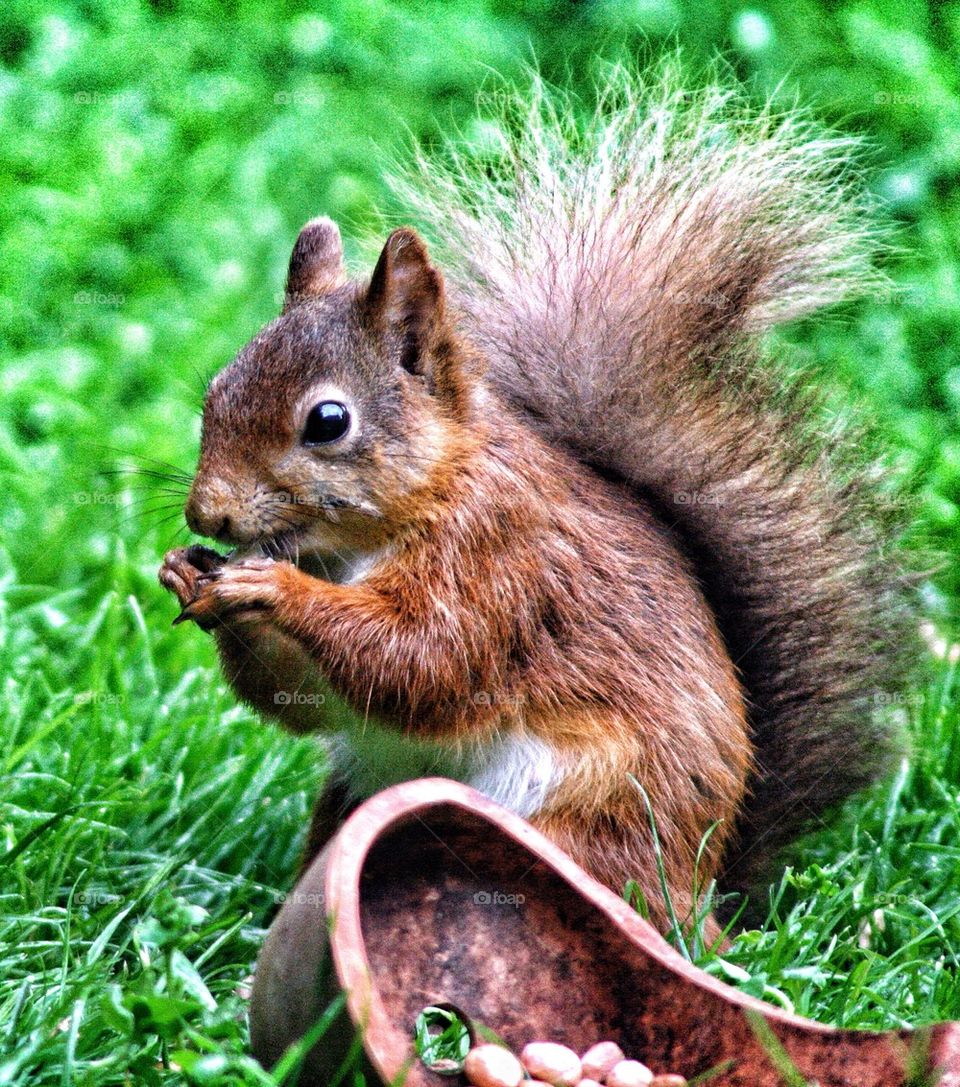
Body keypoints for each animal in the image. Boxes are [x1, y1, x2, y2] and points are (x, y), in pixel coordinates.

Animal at [158, 72, 914, 934]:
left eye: (327, 421)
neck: (382, 526)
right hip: (357, 792)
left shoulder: (501, 566)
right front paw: (190, 575)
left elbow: (420, 661)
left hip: (582, 822)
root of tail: (706, 889)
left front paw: (271, 587)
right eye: (216, 390)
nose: (207, 516)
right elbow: (308, 697)